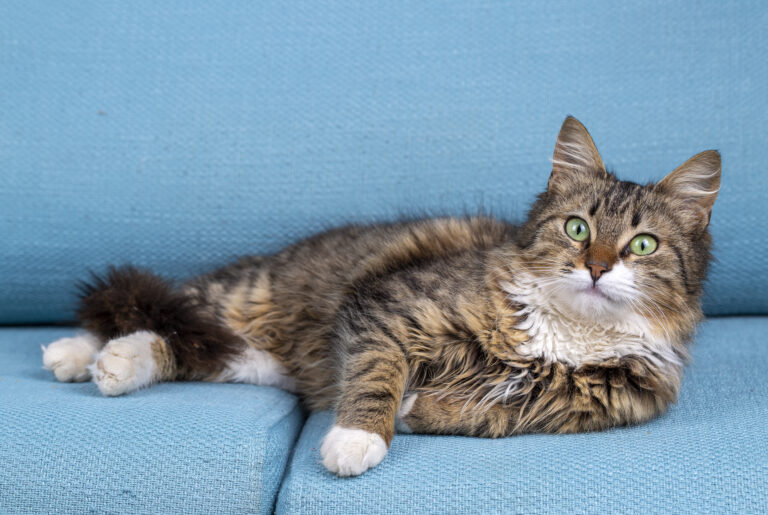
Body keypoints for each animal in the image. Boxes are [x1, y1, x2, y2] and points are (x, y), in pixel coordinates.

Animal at [42, 117, 716, 476]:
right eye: (577, 228)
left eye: (643, 245)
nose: (597, 268)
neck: (567, 335)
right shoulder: (388, 306)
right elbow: (375, 376)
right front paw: (358, 436)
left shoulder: (588, 406)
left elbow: (490, 415)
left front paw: (418, 409)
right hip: (240, 297)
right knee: (163, 310)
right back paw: (75, 353)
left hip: (259, 363)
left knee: (187, 346)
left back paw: (113, 364)